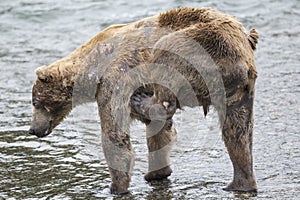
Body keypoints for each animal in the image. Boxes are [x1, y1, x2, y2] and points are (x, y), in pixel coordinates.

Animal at [28, 7, 258, 194]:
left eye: (35, 103)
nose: (32, 129)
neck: (92, 67)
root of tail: (244, 43)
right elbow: (159, 134)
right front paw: (156, 172)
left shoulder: (115, 78)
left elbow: (115, 135)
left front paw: (115, 187)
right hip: (237, 87)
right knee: (237, 130)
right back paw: (241, 182)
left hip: (198, 45)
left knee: (167, 61)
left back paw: (146, 103)